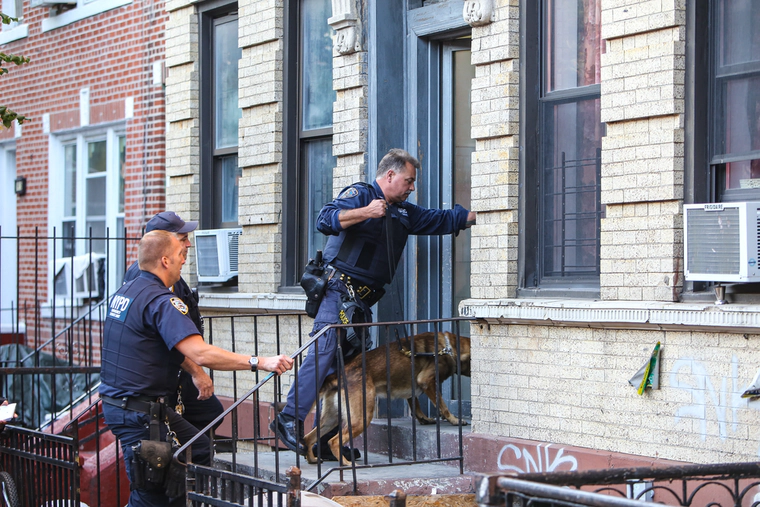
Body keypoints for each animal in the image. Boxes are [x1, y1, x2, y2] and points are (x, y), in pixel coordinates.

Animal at [302, 332, 470, 466]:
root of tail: (337, 374)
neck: (448, 346)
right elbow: (442, 405)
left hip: (331, 418)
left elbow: (415, 404)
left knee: (308, 438)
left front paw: (424, 419)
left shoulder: (413, 386)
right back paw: (346, 463)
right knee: (333, 441)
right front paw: (454, 420)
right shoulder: (426, 381)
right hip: (361, 418)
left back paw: (312, 459)